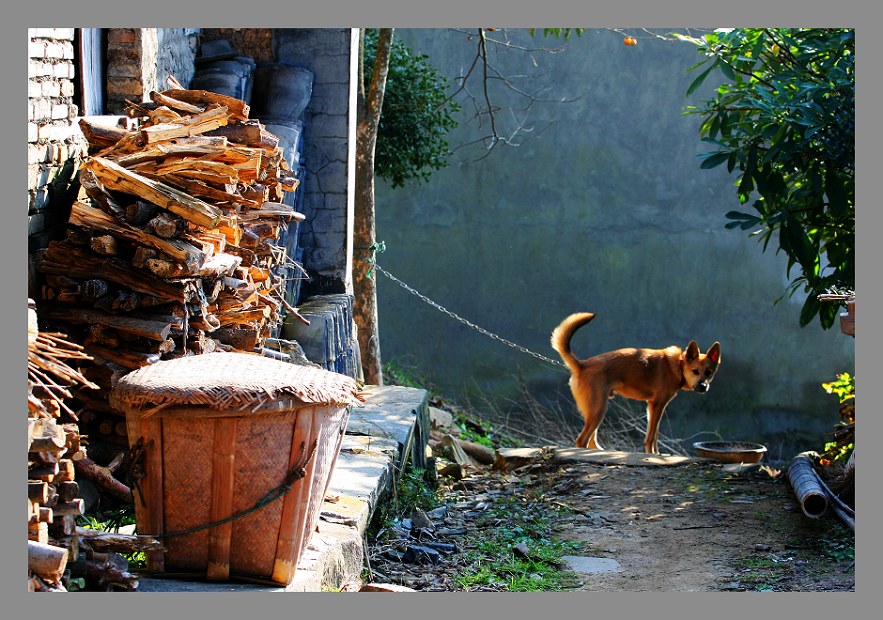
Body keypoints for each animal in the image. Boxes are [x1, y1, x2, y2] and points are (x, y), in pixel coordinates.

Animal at [548, 314, 720, 456]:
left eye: (709, 372)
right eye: (695, 371)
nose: (703, 387)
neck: (678, 364)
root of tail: (583, 365)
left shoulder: (652, 407)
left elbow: (654, 434)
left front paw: (656, 453)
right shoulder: (658, 405)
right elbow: (651, 436)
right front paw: (652, 455)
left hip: (594, 411)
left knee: (591, 440)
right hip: (599, 409)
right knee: (582, 440)